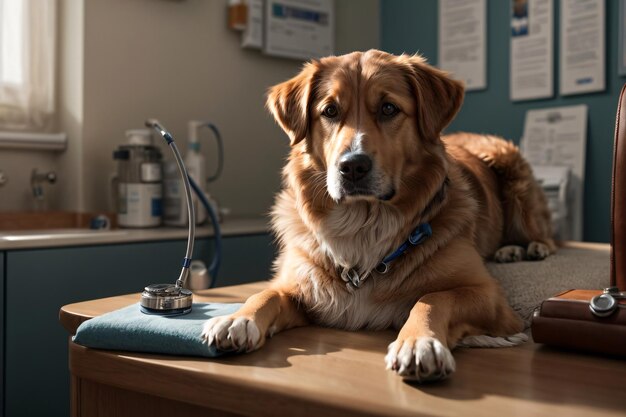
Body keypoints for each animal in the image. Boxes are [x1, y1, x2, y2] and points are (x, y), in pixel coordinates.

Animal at [201, 49, 552, 380]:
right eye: (330, 111)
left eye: (388, 108)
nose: (352, 166)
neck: (364, 223)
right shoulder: (299, 285)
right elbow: (266, 293)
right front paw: (237, 319)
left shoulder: (490, 297)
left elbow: (433, 298)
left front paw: (418, 342)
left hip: (510, 168)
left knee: (544, 234)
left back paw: (527, 248)